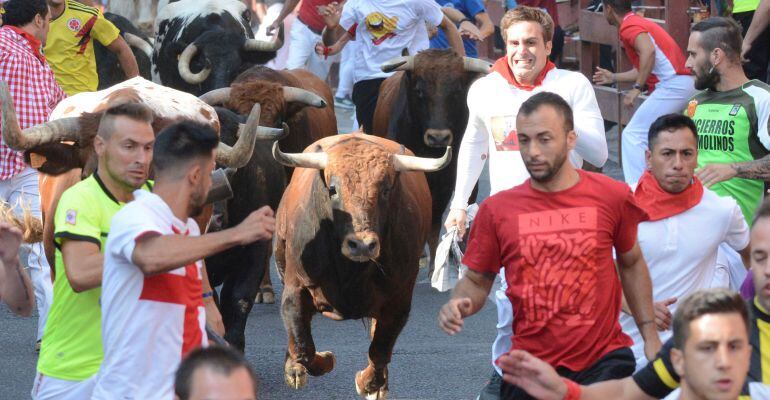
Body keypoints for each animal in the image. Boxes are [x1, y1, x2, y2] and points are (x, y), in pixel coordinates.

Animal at [272, 134, 448, 396]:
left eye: (386, 190)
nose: (363, 245)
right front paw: (317, 362)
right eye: (332, 189)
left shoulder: (398, 301)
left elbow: (380, 349)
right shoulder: (296, 287)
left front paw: (369, 383)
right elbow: (303, 347)